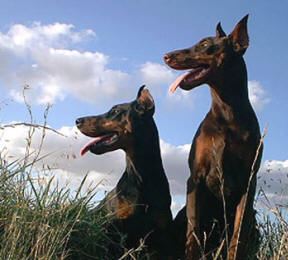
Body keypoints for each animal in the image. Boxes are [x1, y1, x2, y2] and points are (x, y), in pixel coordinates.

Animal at [164, 15, 260, 258]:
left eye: (206, 45)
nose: (166, 56)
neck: (227, 114)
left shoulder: (248, 182)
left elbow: (238, 234)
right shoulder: (196, 178)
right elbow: (193, 233)